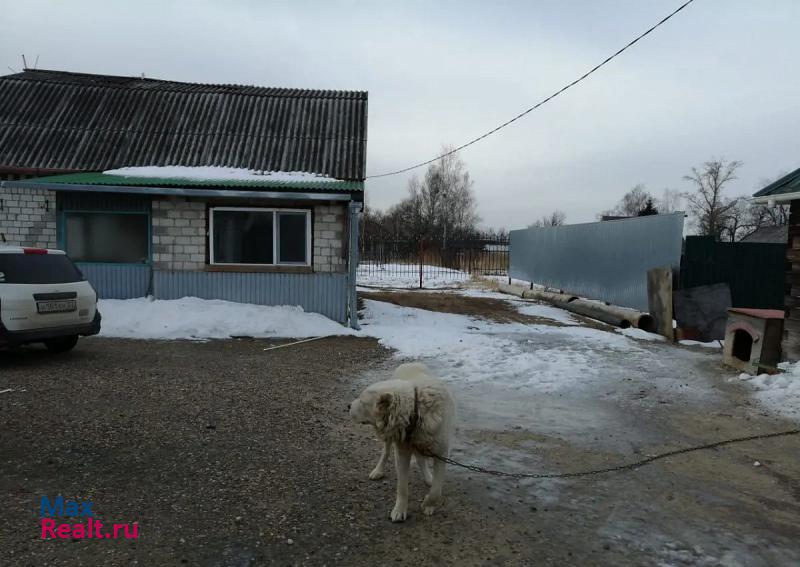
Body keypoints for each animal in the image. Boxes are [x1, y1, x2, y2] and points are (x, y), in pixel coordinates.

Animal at [350, 364, 456, 524]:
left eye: (362, 402)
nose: (348, 406)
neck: (416, 410)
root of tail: (409, 363)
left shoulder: (442, 453)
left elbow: (436, 489)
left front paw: (428, 504)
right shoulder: (402, 453)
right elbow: (402, 487)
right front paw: (399, 510)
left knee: (421, 459)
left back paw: (428, 478)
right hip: (390, 439)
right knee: (386, 452)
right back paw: (378, 470)